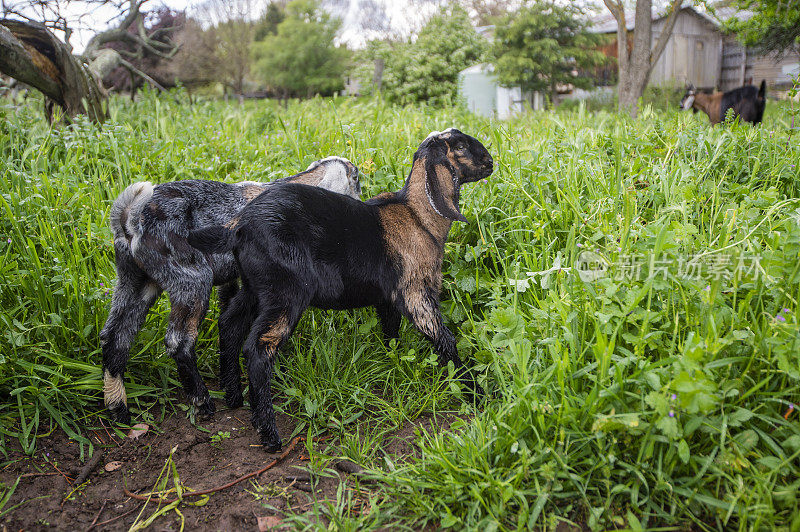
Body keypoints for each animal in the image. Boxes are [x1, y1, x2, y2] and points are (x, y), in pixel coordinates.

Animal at [101, 157, 362, 424]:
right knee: (178, 342)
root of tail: (130, 217)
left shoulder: (232, 281)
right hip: (192, 280)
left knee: (115, 338)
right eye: (356, 180)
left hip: (135, 282)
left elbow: (228, 318)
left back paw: (118, 408)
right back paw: (202, 401)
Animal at [189, 129, 494, 448]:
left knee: (230, 324)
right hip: (286, 291)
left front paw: (394, 361)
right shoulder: (416, 292)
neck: (418, 218)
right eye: (461, 146)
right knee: (259, 349)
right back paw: (269, 435)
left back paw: (233, 395)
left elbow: (391, 330)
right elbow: (445, 340)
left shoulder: (387, 297)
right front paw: (475, 393)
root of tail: (238, 228)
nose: (490, 162)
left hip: (255, 286)